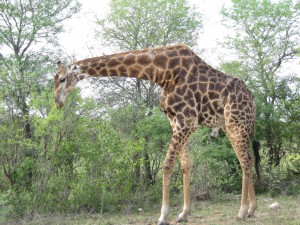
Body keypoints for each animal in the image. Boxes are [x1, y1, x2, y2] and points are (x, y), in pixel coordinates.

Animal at [54, 43, 260, 224]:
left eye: (62, 79)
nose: (57, 102)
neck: (163, 73)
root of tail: (252, 100)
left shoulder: (187, 122)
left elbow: (167, 165)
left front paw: (163, 216)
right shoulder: (176, 122)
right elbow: (185, 165)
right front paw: (183, 213)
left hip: (236, 123)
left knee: (244, 160)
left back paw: (241, 212)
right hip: (230, 126)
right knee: (249, 159)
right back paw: (252, 209)